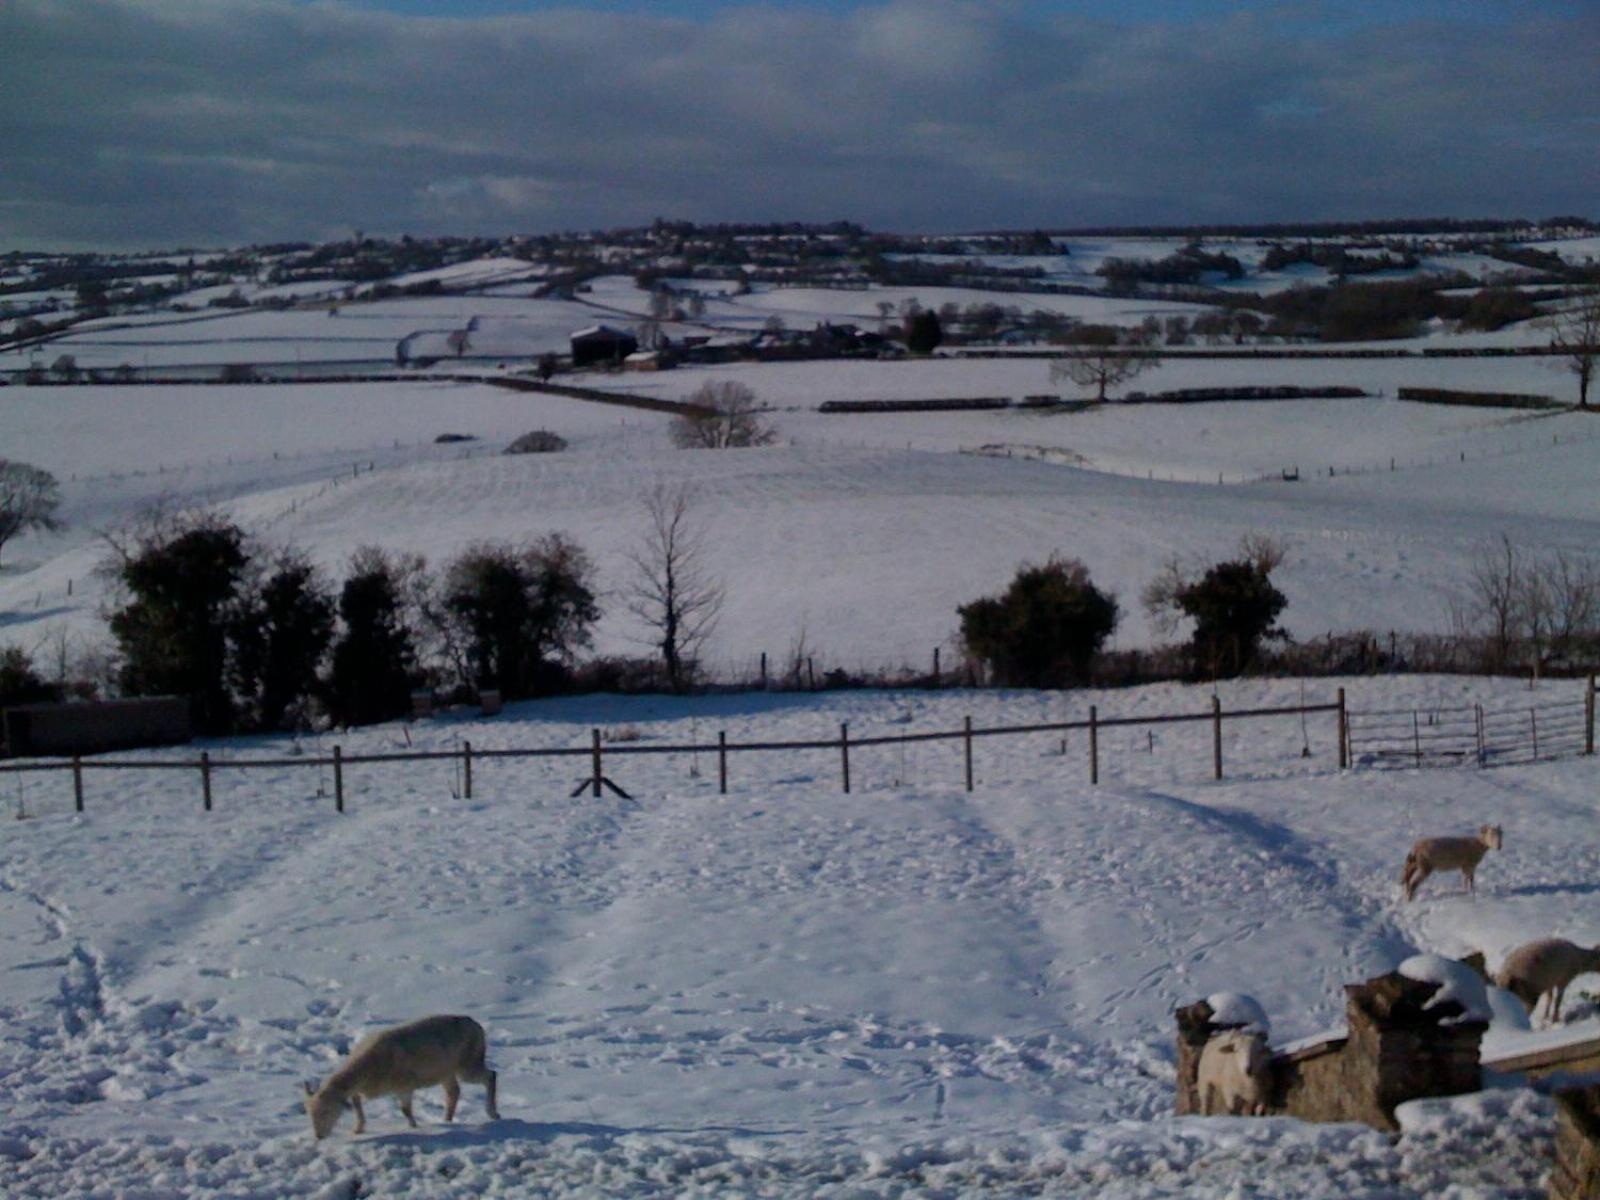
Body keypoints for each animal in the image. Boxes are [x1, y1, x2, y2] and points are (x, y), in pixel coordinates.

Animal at [302, 1011, 496, 1139]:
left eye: (327, 1111)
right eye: (309, 1112)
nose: (318, 1136)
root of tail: (475, 1024)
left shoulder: (404, 1086)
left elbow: (405, 1110)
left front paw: (414, 1127)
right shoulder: (359, 1090)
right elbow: (357, 1107)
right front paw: (358, 1129)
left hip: (468, 1064)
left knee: (490, 1076)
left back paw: (493, 1113)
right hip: (446, 1072)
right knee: (453, 1092)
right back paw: (447, 1120)